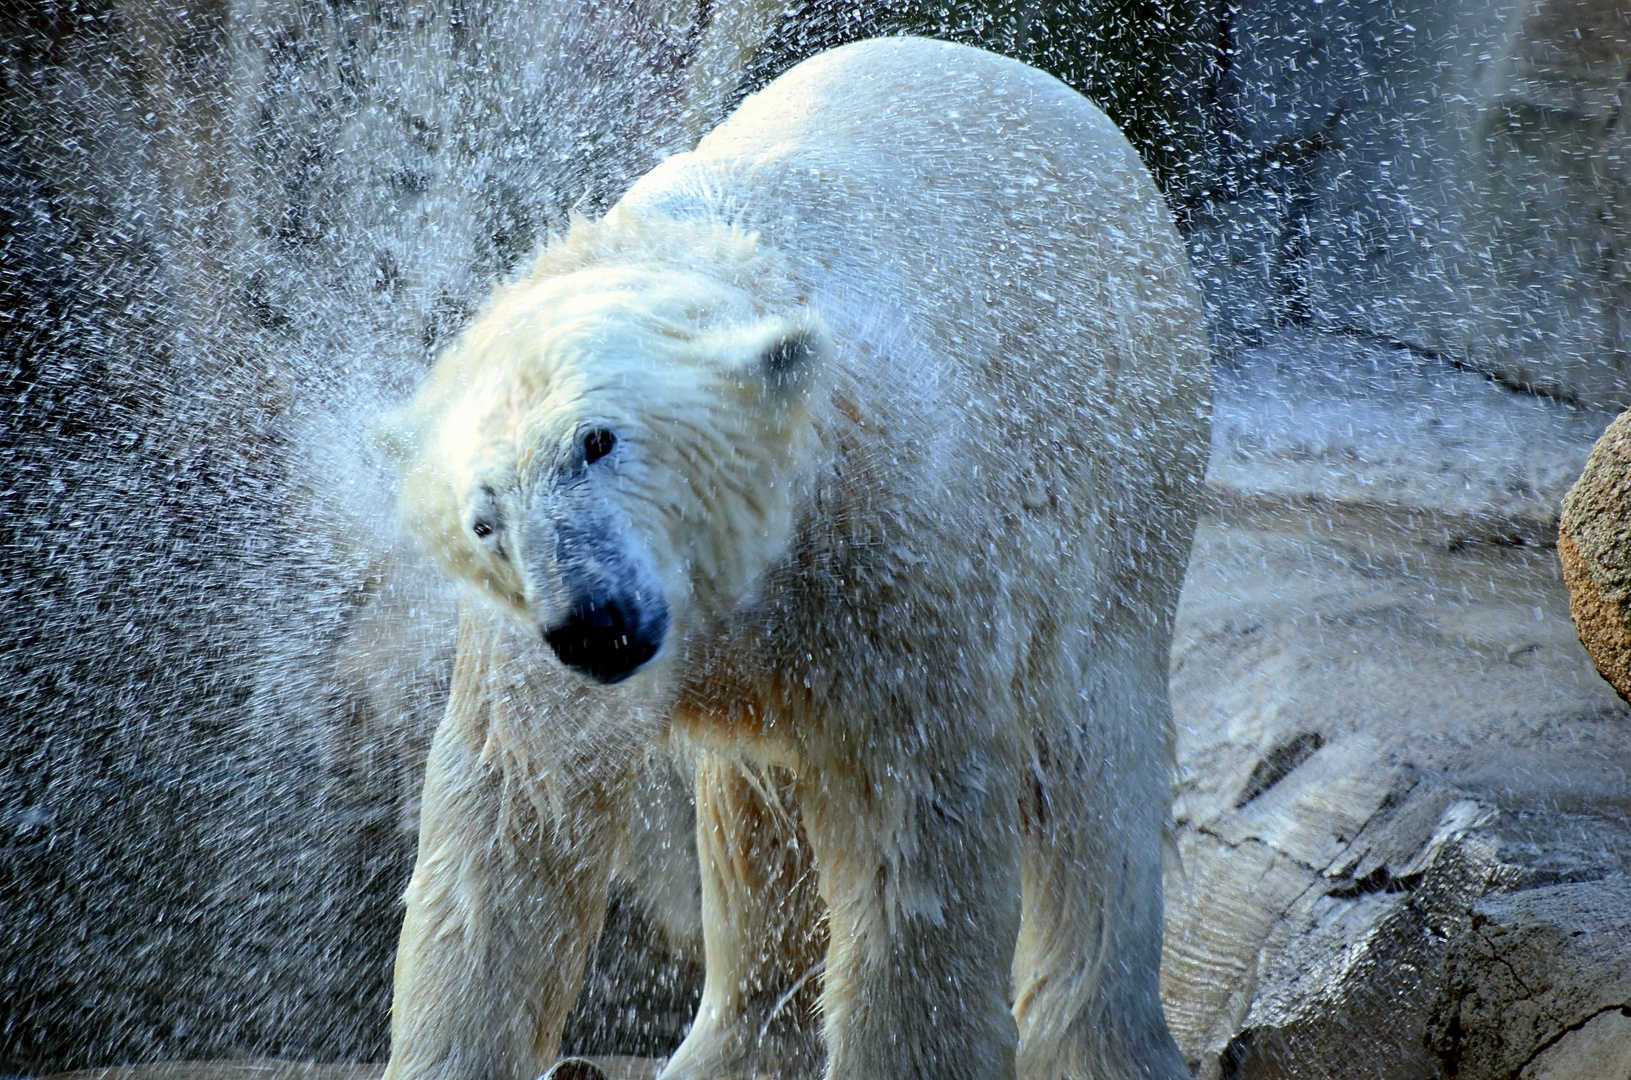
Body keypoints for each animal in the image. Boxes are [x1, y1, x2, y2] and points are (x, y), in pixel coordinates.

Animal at [375, 33, 1206, 1080]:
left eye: (597, 441)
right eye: (484, 518)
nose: (593, 626)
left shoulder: (893, 551)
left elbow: (911, 829)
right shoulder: (529, 644)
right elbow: (514, 818)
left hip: (1126, 459)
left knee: (1094, 760)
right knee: (753, 811)